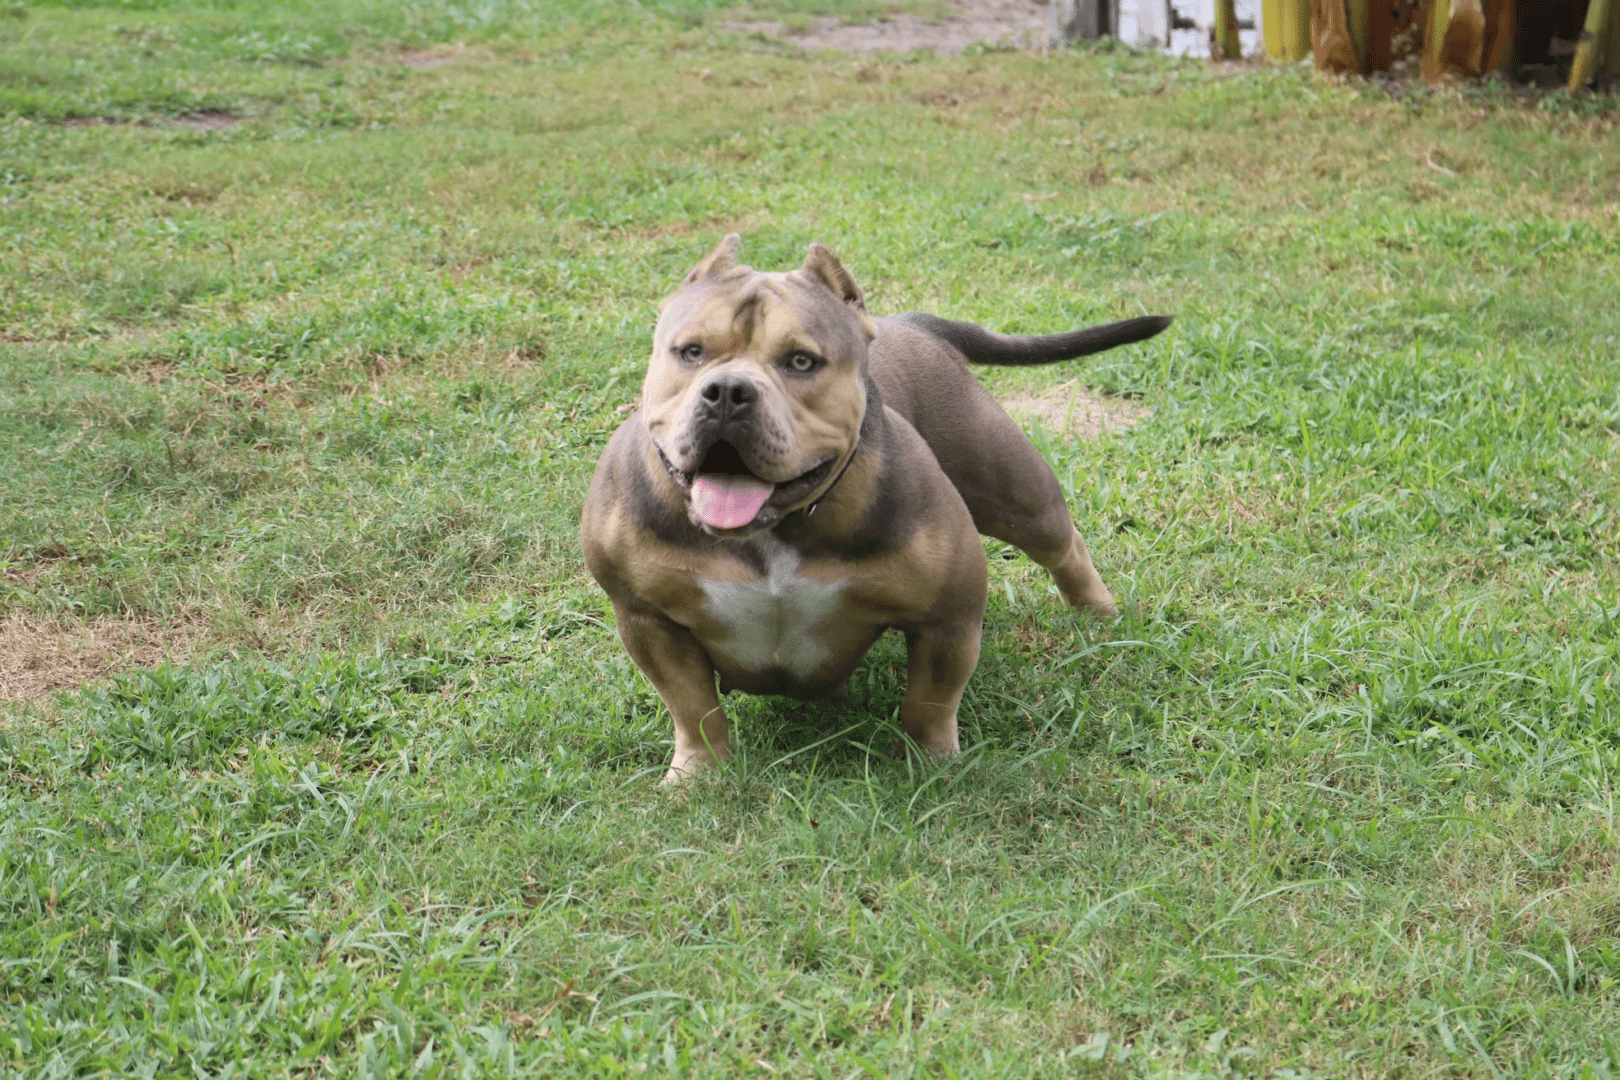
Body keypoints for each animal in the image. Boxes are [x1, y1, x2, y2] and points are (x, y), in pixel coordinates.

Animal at [583, 236, 1166, 780]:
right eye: (691, 353)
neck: (775, 530)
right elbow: (692, 705)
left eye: (801, 362)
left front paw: (931, 765)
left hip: (1016, 495)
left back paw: (1097, 610)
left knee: (1063, 544)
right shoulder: (646, 619)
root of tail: (914, 324)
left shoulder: (947, 617)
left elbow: (929, 702)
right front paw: (699, 773)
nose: (727, 391)